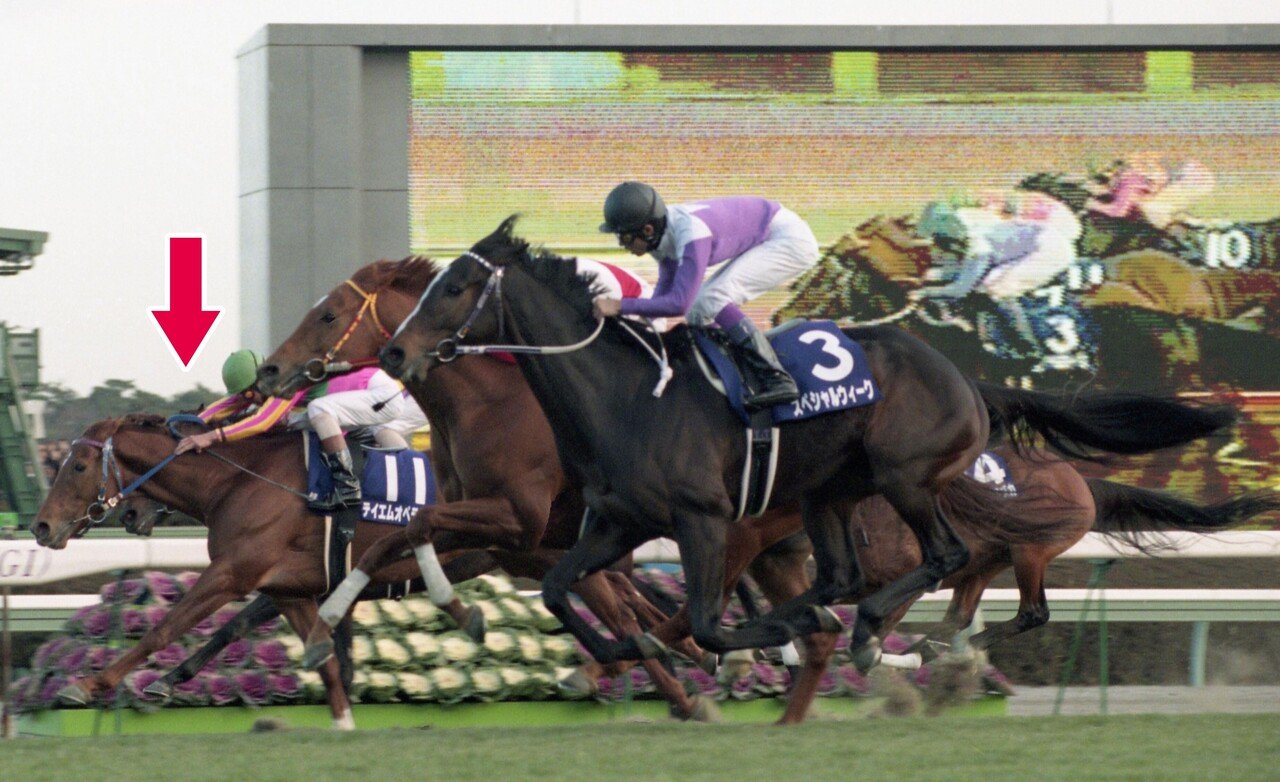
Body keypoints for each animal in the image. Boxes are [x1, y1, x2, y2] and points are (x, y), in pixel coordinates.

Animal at [254, 258, 716, 721]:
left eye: (329, 315)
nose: (269, 371)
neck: (484, 406)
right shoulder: (491, 529)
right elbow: (394, 542)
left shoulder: (519, 516)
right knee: (635, 609)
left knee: (630, 613)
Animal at [376, 218, 1228, 670]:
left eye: (456, 287)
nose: (393, 352)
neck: (625, 398)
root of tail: (964, 376)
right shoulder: (618, 520)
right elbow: (558, 588)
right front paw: (623, 648)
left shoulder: (702, 518)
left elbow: (708, 620)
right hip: (829, 493)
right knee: (841, 573)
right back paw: (837, 623)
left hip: (906, 476)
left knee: (942, 557)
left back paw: (876, 633)